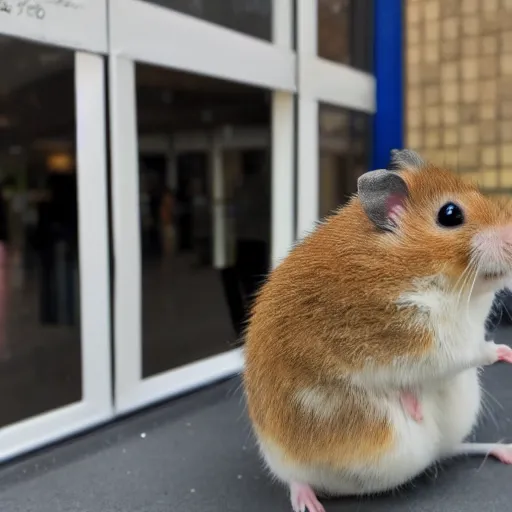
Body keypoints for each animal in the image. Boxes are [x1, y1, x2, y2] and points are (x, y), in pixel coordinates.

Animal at [242, 150, 512, 512]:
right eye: (450, 214)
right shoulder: (427, 342)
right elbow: (474, 351)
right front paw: (506, 353)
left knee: (452, 449)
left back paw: (503, 450)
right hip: (282, 457)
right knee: (294, 479)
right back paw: (308, 503)